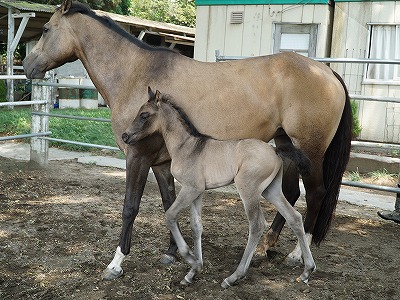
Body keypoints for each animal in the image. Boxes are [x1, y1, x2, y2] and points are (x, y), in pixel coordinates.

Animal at [23, 0, 352, 282]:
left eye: (45, 29)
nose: (26, 67)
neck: (134, 72)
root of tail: (327, 71)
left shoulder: (137, 156)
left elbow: (130, 207)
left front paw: (116, 263)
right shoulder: (161, 163)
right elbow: (169, 203)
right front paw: (174, 253)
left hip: (310, 151)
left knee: (316, 194)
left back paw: (297, 256)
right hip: (285, 147)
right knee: (290, 195)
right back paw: (265, 248)